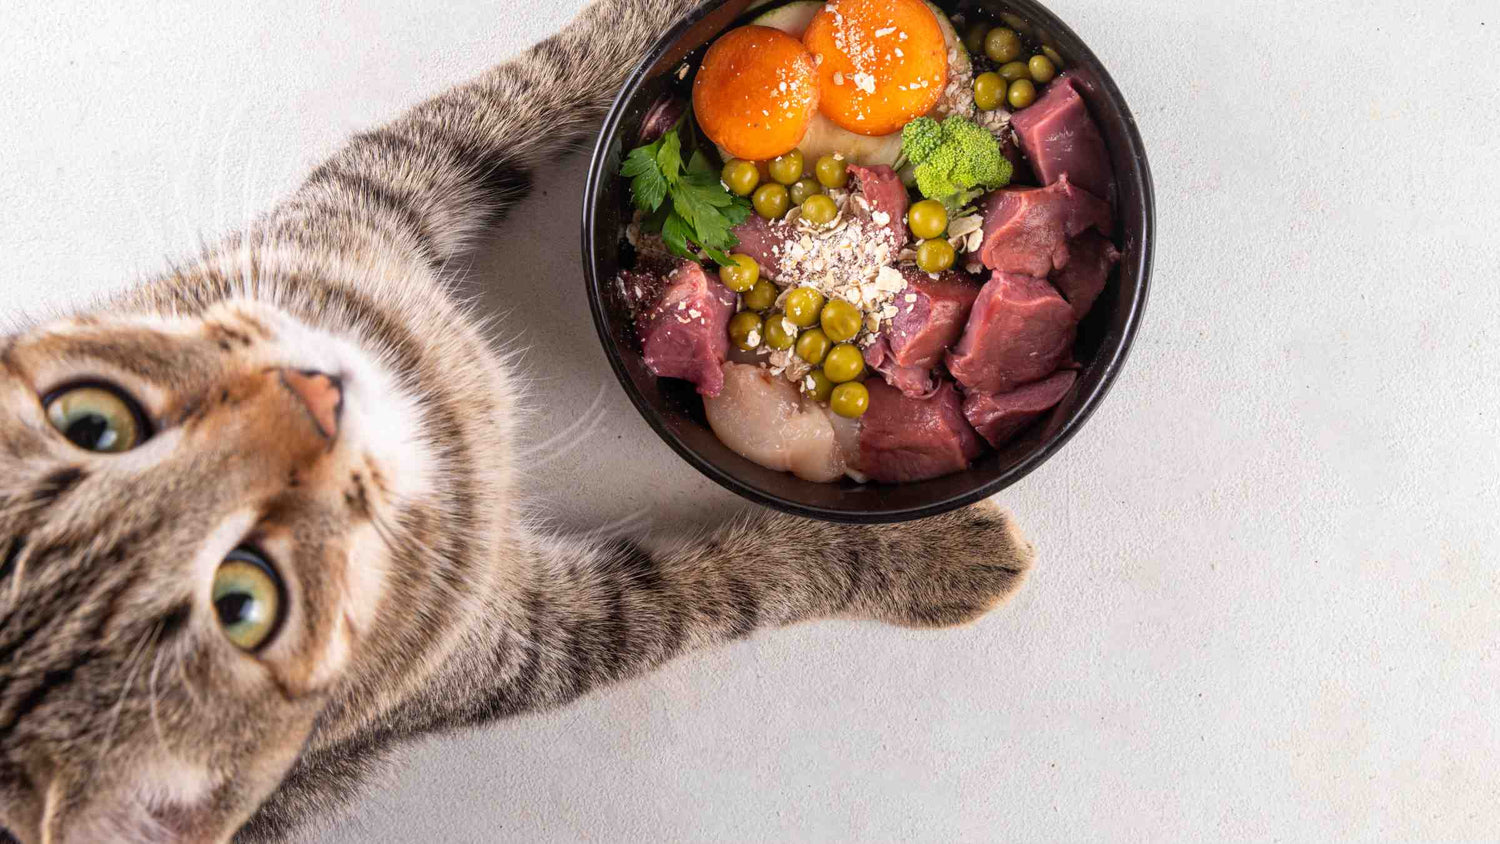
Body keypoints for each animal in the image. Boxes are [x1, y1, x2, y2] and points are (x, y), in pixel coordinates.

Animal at [0, 0, 1032, 839]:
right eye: (243, 604)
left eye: (94, 420)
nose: (311, 397)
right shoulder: (531, 643)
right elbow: (731, 585)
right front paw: (929, 556)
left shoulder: (378, 188)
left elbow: (518, 91)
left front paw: (657, 23)